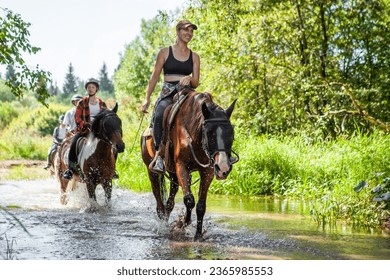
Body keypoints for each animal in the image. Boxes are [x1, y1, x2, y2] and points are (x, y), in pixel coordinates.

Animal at [141, 89, 236, 238]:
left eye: (231, 133)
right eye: (209, 133)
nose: (223, 168)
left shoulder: (208, 171)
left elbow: (201, 206)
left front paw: (197, 235)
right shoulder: (182, 166)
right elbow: (189, 200)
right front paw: (182, 223)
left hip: (173, 174)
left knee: (170, 202)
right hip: (152, 171)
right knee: (159, 202)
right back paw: (163, 224)